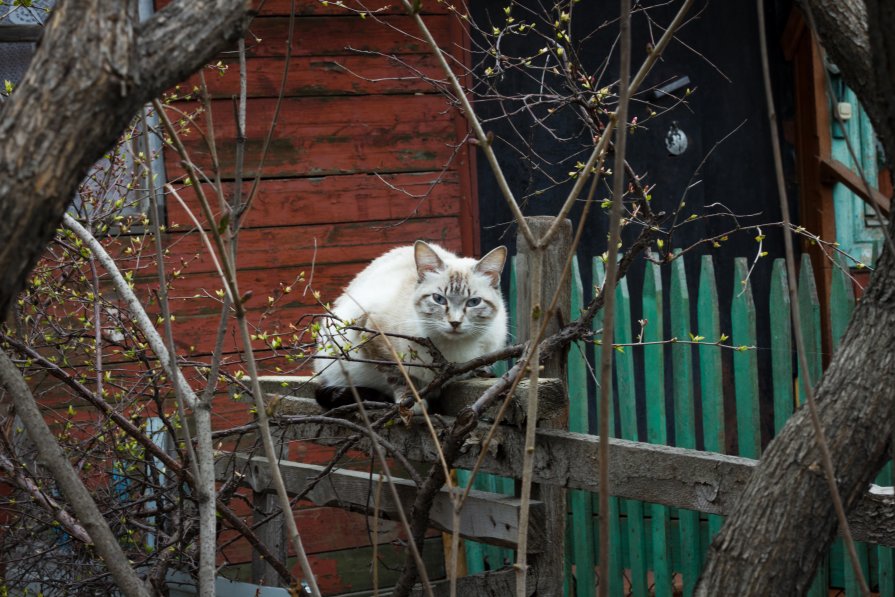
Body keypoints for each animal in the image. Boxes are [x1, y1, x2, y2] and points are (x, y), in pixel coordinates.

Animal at [314, 240, 512, 408]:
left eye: (473, 302)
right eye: (439, 299)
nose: (455, 322)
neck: (451, 349)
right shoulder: (375, 336)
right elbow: (399, 374)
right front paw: (412, 402)